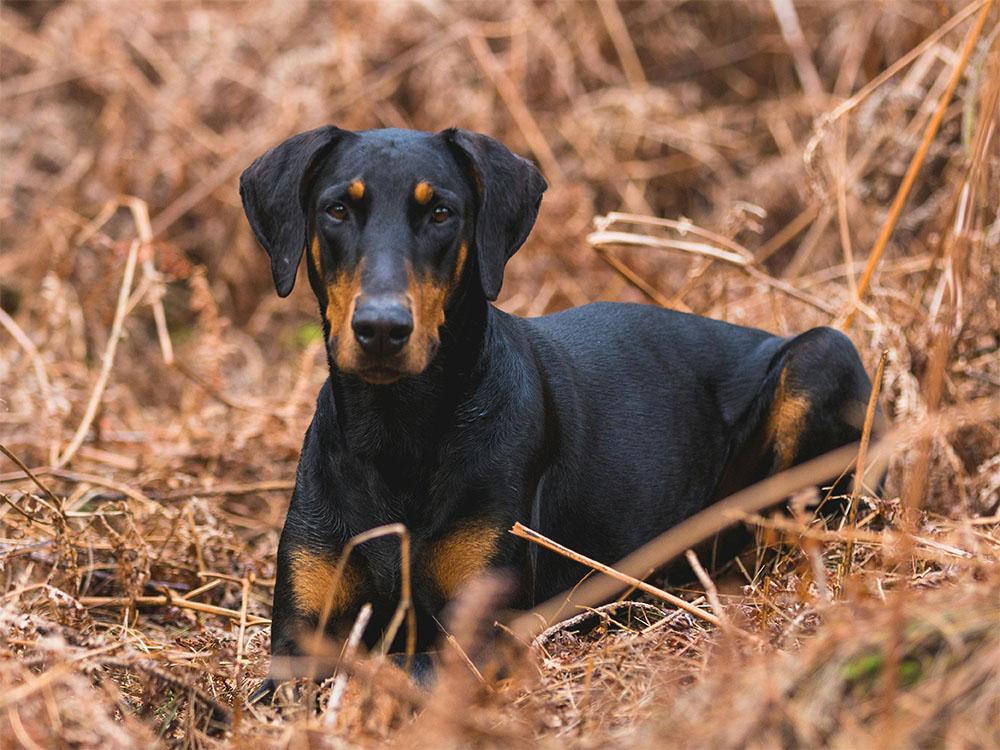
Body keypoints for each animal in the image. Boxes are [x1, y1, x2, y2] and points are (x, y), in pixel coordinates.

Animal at [238, 128, 880, 700]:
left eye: (442, 212)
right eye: (337, 209)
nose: (381, 329)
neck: (397, 430)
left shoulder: (480, 627)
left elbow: (403, 672)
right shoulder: (298, 637)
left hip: (822, 357)